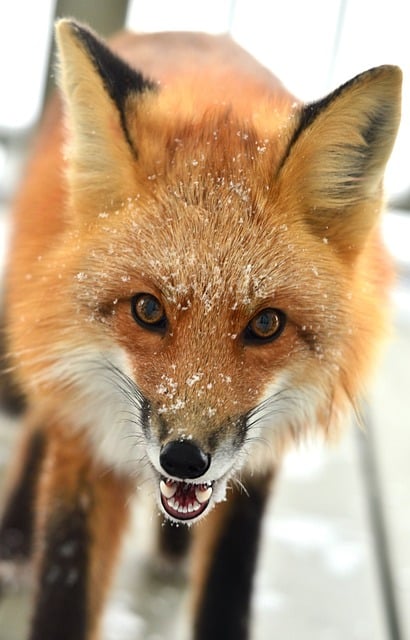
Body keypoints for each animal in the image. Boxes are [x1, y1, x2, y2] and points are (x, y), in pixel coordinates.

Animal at [0, 18, 402, 640]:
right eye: (147, 310)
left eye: (266, 323)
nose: (185, 460)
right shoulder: (84, 435)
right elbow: (65, 589)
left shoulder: (259, 459)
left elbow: (225, 590)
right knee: (35, 428)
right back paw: (17, 538)